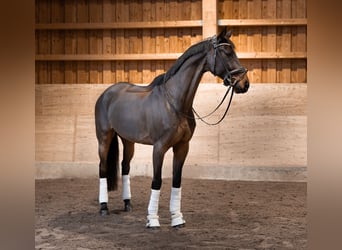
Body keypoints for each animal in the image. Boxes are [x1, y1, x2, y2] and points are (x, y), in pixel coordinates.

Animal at [93, 27, 248, 229]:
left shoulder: (182, 146)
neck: (174, 103)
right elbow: (157, 181)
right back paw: (104, 207)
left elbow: (176, 180)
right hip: (104, 138)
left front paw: (177, 218)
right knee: (102, 168)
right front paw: (152, 220)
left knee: (125, 166)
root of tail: (106, 93)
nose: (245, 84)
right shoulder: (159, 148)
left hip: (128, 141)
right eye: (227, 52)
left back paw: (127, 204)